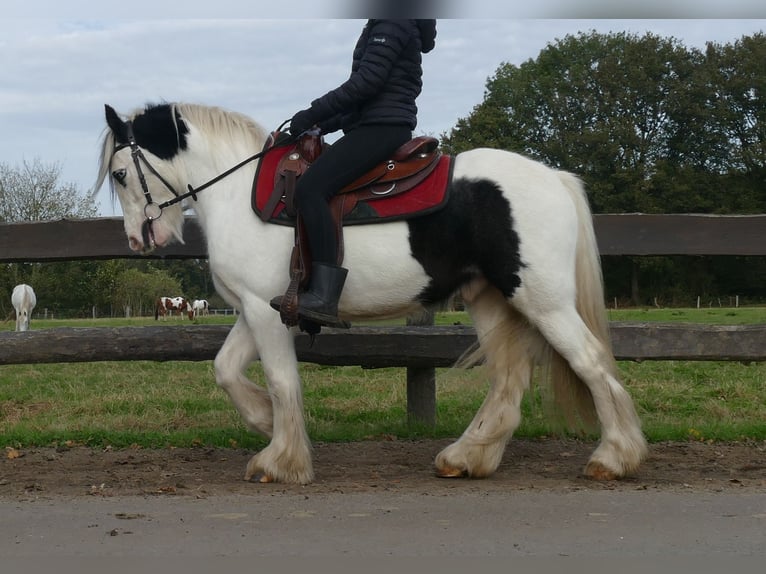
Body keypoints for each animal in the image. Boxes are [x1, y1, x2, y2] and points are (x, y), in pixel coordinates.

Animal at [94, 102, 648, 486]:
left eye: (120, 173)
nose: (138, 239)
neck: (238, 193)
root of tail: (554, 178)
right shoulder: (256, 309)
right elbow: (226, 370)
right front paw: (266, 421)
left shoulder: (265, 312)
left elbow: (281, 381)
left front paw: (283, 460)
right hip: (490, 299)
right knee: (510, 379)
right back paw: (466, 457)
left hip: (543, 301)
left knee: (592, 363)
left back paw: (614, 458)